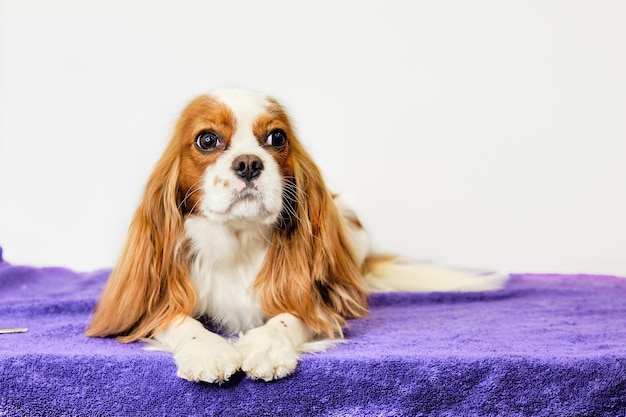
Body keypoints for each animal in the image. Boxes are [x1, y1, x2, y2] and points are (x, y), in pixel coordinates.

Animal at [85, 89, 504, 382]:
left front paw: (267, 346)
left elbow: (293, 314)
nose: (249, 163)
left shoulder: (320, 299)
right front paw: (208, 351)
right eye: (207, 139)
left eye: (276, 138)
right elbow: (176, 320)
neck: (237, 239)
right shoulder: (154, 299)